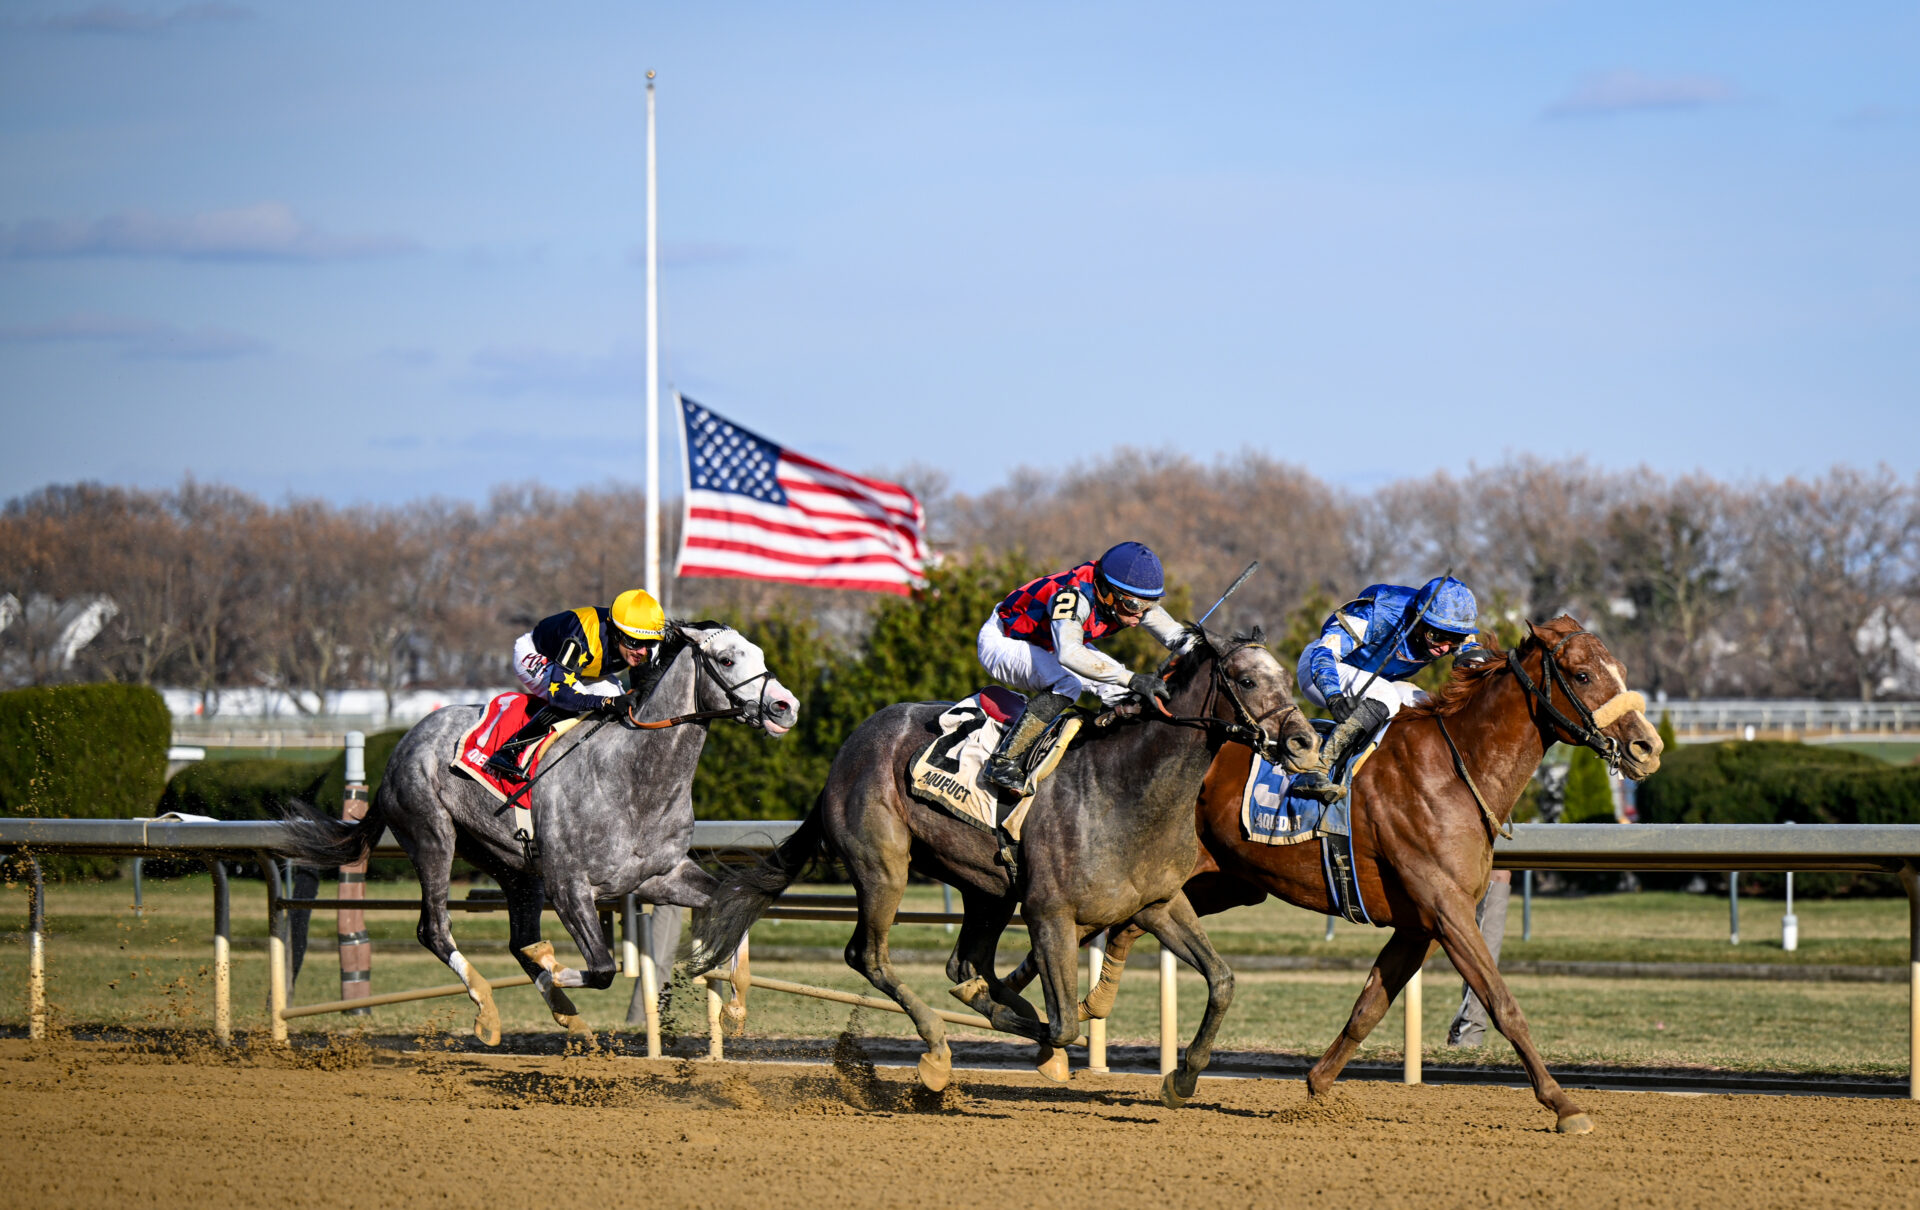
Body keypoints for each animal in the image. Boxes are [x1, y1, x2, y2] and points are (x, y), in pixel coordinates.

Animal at [280, 622, 798, 1044]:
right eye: (727, 659)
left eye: (759, 654)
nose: (785, 706)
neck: (635, 777)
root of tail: (401, 746)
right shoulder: (569, 886)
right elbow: (602, 969)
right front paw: (553, 963)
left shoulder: (660, 876)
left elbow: (735, 905)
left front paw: (734, 1009)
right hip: (432, 836)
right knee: (435, 930)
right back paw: (489, 1011)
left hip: (512, 865)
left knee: (516, 940)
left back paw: (568, 1017)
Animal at [695, 629, 1320, 1106]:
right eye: (1246, 680)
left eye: (1286, 676)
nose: (1304, 741)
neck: (1124, 788)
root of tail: (847, 751)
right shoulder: (1049, 913)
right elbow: (1065, 1023)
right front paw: (1042, 1042)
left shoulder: (1159, 904)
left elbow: (1222, 979)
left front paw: (1183, 1076)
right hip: (884, 865)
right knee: (869, 956)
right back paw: (938, 1050)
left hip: (986, 888)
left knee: (963, 961)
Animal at [1044, 622, 1658, 1137]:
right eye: (1582, 675)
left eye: (1621, 668)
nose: (1647, 746)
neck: (1455, 769)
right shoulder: (1447, 910)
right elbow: (1502, 1003)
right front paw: (1564, 1105)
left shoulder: (1419, 924)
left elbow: (1369, 1007)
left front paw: (1317, 1087)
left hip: (1220, 882)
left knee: (1123, 925)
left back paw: (1091, 1014)